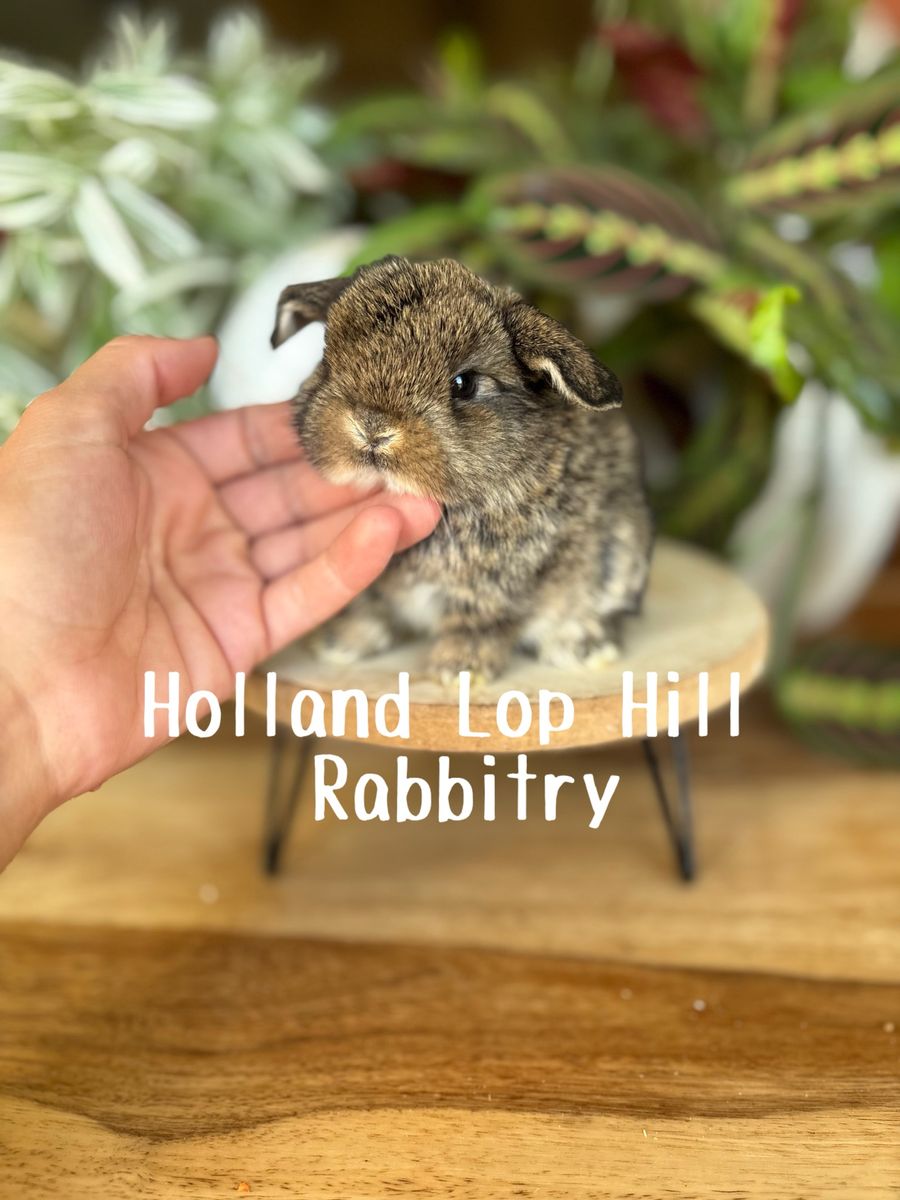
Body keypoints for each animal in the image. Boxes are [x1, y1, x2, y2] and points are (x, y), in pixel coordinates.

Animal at [271, 255, 653, 682]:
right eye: (327, 361)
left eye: (464, 384)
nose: (372, 427)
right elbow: (369, 611)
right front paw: (338, 645)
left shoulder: (497, 588)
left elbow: (478, 625)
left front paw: (459, 672)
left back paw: (585, 647)